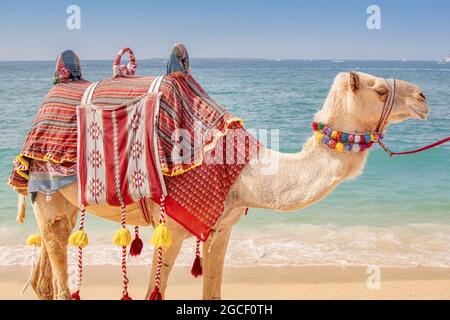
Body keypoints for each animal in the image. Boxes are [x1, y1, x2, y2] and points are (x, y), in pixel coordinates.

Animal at [15, 70, 428, 300]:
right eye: (377, 89)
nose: (423, 96)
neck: (244, 172)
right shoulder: (173, 227)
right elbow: (154, 293)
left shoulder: (222, 228)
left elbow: (212, 291)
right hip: (47, 188)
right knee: (59, 279)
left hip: (64, 203)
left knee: (45, 276)